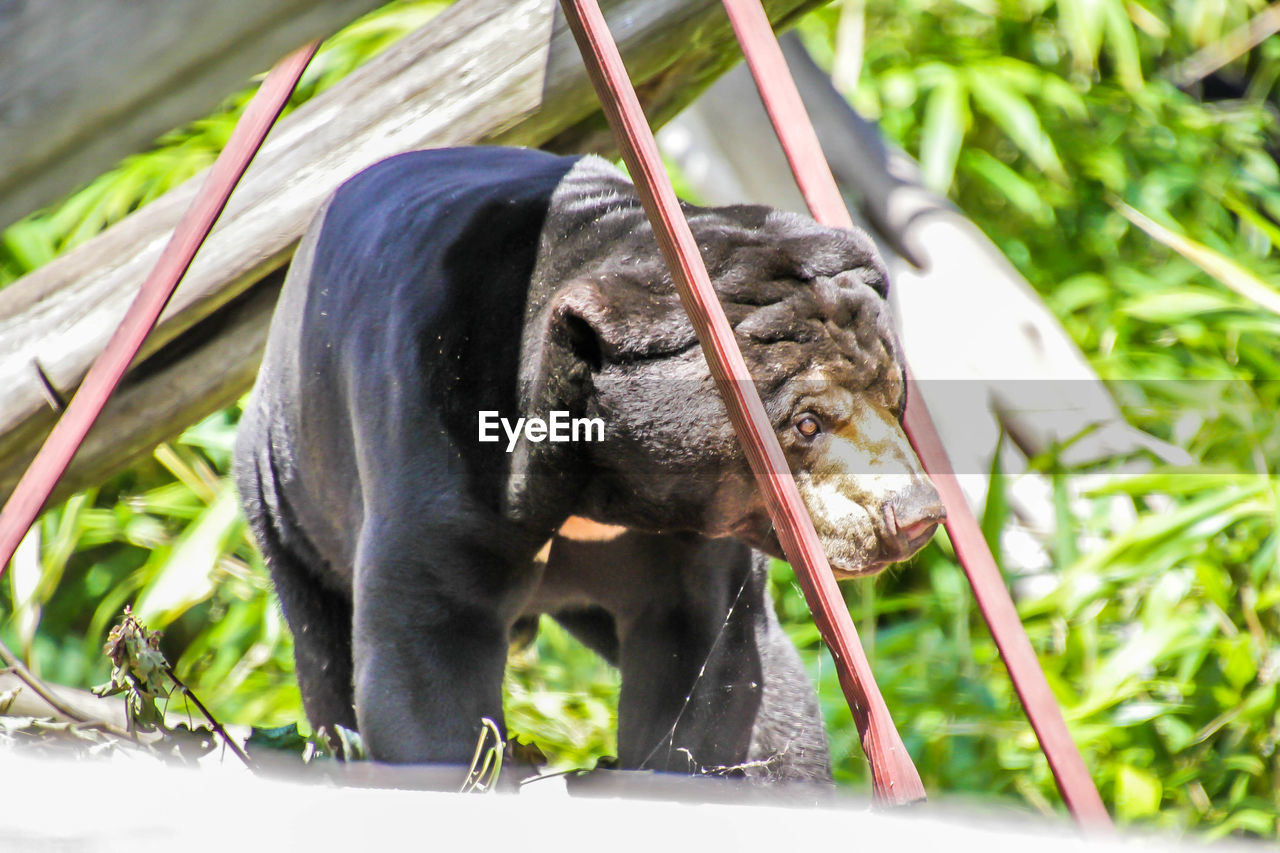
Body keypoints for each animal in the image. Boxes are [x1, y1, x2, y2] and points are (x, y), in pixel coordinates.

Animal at [235, 144, 947, 778]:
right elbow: (426, 650)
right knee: (323, 644)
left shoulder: (693, 542)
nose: (916, 516)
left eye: (894, 394)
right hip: (284, 493)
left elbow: (711, 659)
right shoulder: (438, 450)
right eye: (806, 423)